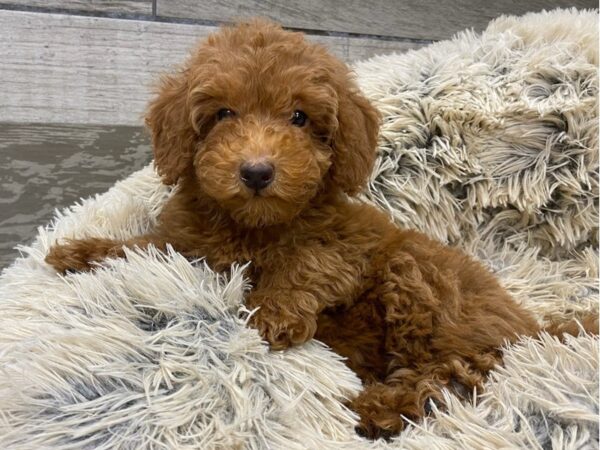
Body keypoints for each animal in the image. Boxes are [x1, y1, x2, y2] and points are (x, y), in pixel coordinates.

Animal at [44, 19, 592, 438]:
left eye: (299, 117)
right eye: (223, 113)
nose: (257, 172)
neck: (253, 226)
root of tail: (531, 326)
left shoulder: (350, 243)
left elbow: (310, 261)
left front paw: (270, 314)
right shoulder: (184, 243)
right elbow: (142, 248)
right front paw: (80, 253)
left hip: (424, 284)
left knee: (450, 373)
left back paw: (381, 408)